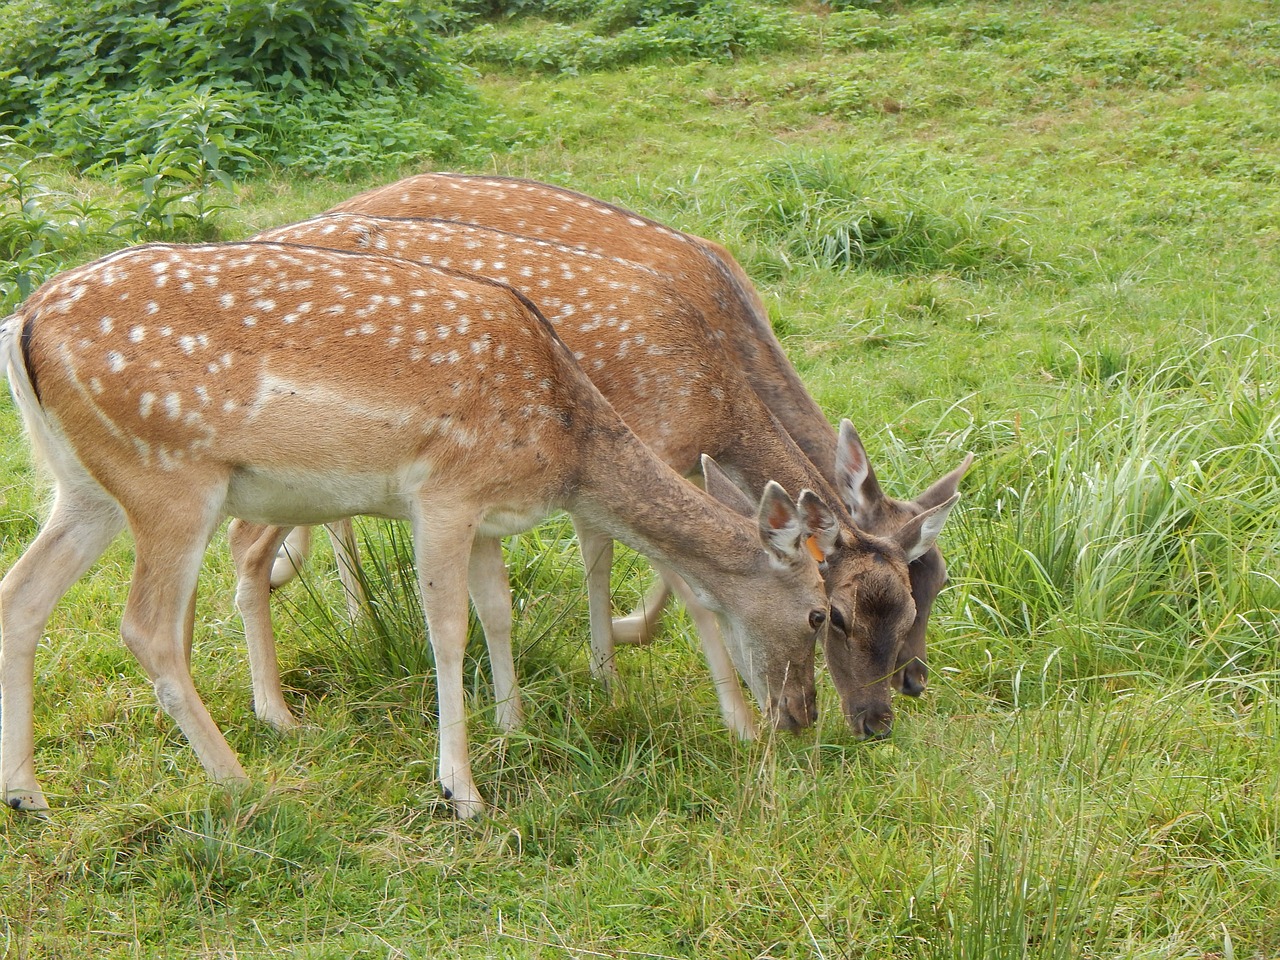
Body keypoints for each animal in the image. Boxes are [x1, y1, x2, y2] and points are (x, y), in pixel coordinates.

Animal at [0, 241, 839, 819]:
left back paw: (27, 793)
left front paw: (513, 729)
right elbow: (448, 629)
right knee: (146, 627)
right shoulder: (443, 492)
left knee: (22, 594)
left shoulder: (489, 515)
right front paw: (461, 789)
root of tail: (23, 322)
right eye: (819, 613)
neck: (565, 440)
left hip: (86, 489)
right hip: (169, 478)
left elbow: (499, 609)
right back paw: (239, 779)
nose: (801, 719)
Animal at [238, 213, 962, 742]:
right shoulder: (641, 445)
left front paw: (607, 662)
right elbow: (649, 571)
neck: (714, 399)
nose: (885, 711)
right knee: (257, 533)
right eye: (833, 616)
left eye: (925, 593)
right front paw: (635, 664)